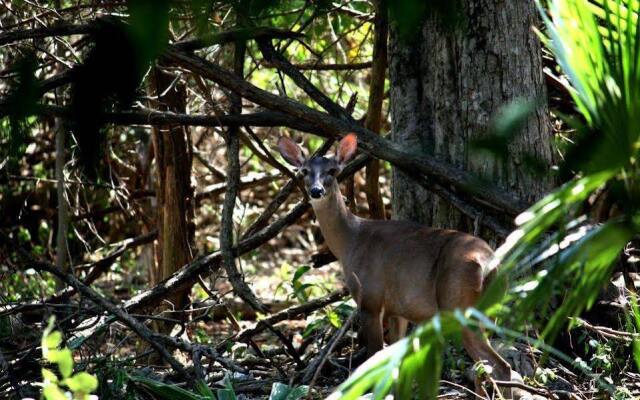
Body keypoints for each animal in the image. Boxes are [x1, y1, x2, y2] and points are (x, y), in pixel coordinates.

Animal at [276, 133, 520, 396]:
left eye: (332, 170)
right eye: (304, 171)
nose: (316, 190)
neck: (351, 240)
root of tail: (489, 264)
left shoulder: (370, 299)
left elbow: (374, 358)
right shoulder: (398, 309)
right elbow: (396, 365)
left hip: (459, 305)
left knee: (500, 366)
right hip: (484, 309)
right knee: (486, 367)